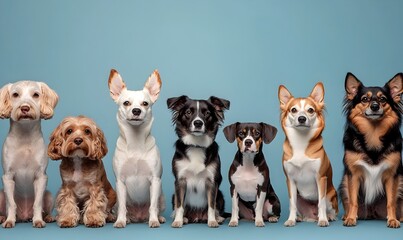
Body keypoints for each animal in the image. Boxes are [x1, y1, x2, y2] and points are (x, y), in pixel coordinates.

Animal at [0, 80, 58, 227]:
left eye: (36, 95)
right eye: (15, 94)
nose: (25, 108)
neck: (25, 136)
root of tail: (24, 216)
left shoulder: (41, 177)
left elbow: (37, 203)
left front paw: (38, 220)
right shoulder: (8, 177)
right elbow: (11, 204)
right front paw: (9, 220)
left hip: (49, 195)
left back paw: (48, 217)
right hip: (0, 195)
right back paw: (3, 218)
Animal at [108, 68, 166, 228]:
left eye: (145, 103)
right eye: (126, 103)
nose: (136, 111)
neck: (135, 143)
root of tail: (139, 217)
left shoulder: (155, 180)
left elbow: (153, 206)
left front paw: (154, 221)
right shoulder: (120, 182)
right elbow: (123, 207)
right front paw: (120, 221)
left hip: (162, 197)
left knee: (157, 207)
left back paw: (159, 218)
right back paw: (126, 219)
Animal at [167, 94, 230, 228]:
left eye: (207, 113)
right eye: (188, 112)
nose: (197, 123)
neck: (196, 145)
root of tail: (197, 216)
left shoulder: (212, 182)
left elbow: (211, 205)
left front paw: (212, 221)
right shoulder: (180, 181)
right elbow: (179, 205)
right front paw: (178, 221)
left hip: (220, 195)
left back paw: (218, 218)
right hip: (174, 195)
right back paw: (184, 218)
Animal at [280, 82, 340, 227]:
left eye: (311, 110)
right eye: (293, 110)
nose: (302, 118)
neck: (300, 143)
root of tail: (311, 217)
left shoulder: (321, 178)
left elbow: (321, 203)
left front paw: (323, 220)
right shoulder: (290, 180)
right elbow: (292, 204)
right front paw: (291, 220)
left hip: (331, 194)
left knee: (331, 209)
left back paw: (329, 217)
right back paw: (299, 218)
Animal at [340, 72, 403, 228]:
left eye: (383, 99)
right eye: (364, 99)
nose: (374, 106)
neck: (373, 133)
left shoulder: (392, 175)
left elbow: (391, 202)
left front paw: (392, 220)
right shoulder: (353, 175)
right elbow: (353, 201)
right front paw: (351, 218)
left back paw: (400, 217)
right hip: (344, 182)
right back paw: (346, 216)